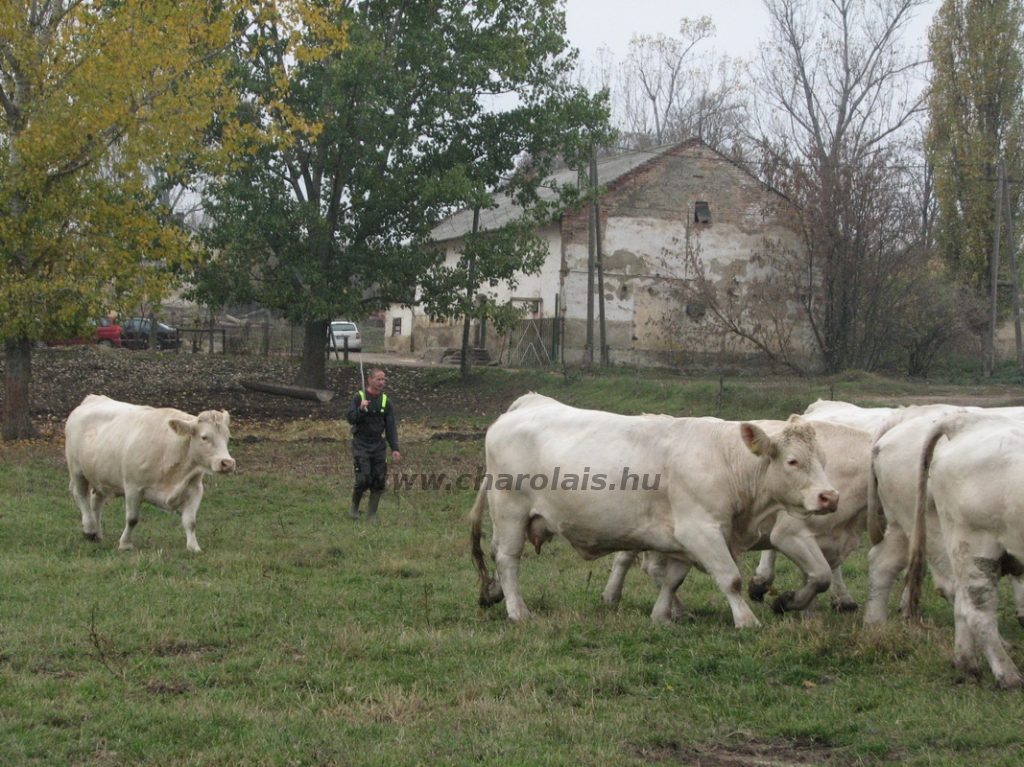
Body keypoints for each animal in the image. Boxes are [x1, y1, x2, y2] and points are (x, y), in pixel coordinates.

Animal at [65, 395, 236, 548]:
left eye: (228, 437)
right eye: (204, 437)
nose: (227, 463)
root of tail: (92, 398)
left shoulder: (194, 489)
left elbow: (190, 522)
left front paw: (194, 547)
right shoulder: (133, 487)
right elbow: (132, 518)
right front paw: (125, 544)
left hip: (101, 475)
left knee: (96, 502)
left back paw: (97, 534)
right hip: (77, 470)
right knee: (81, 496)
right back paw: (89, 530)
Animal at [468, 391, 835, 626]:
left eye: (821, 458)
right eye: (792, 461)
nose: (830, 496)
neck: (725, 460)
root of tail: (530, 402)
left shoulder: (683, 537)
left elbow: (672, 580)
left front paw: (662, 616)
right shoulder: (701, 530)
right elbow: (730, 579)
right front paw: (746, 621)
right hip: (511, 510)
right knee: (507, 558)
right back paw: (518, 612)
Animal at [602, 419, 876, 614]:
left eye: (823, 460)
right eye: (792, 461)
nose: (830, 498)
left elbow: (820, 575)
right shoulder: (791, 534)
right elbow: (820, 576)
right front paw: (786, 602)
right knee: (628, 559)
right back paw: (613, 597)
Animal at [909, 413, 1024, 688]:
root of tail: (967, 421)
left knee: (961, 601)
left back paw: (967, 664)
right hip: (976, 547)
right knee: (978, 611)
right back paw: (1008, 676)